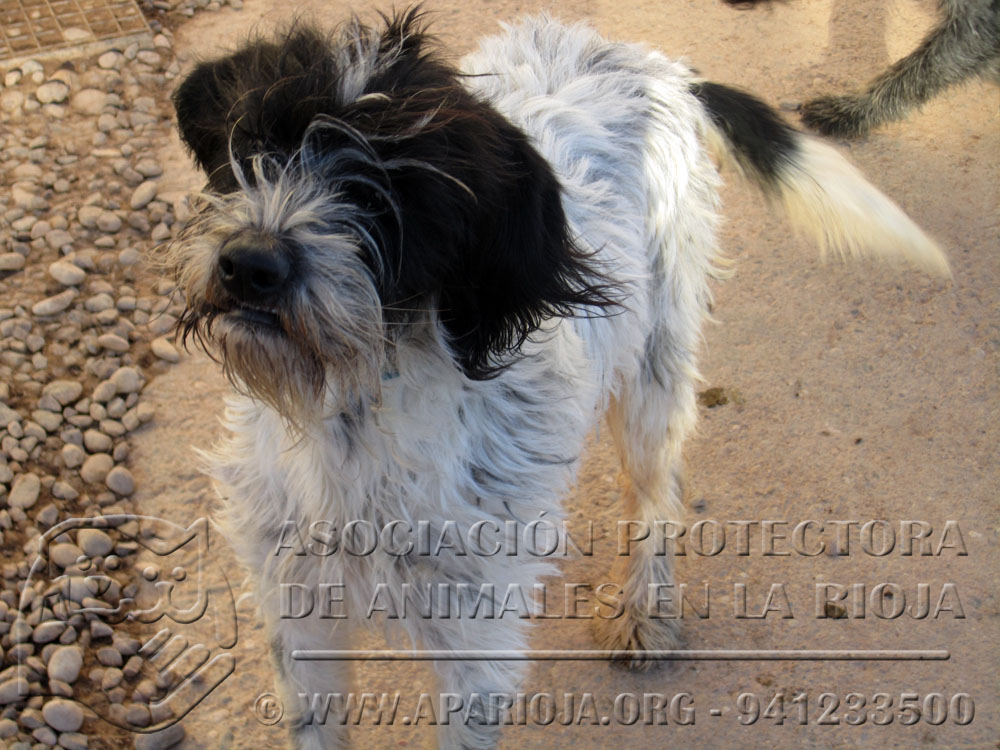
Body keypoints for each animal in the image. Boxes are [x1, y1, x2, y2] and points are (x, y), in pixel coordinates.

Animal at [167, 10, 948, 749]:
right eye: (255, 147)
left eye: (390, 192)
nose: (251, 264)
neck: (351, 415)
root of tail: (660, 68)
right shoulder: (296, 613)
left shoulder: (476, 642)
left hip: (654, 378)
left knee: (658, 493)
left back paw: (644, 609)